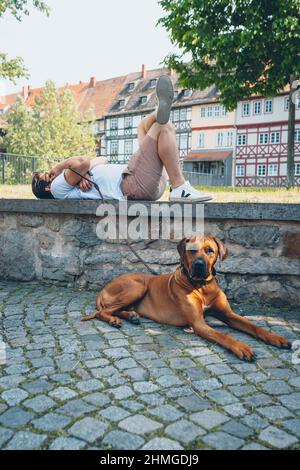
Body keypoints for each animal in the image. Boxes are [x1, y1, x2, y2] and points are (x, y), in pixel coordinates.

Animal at [82, 234, 290, 360]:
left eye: (210, 250)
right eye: (191, 250)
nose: (199, 265)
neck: (201, 286)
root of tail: (104, 288)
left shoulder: (228, 315)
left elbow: (253, 326)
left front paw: (275, 337)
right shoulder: (198, 323)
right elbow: (222, 335)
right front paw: (241, 347)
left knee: (117, 309)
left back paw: (131, 316)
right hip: (138, 286)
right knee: (103, 311)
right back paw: (114, 320)